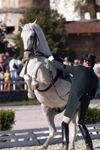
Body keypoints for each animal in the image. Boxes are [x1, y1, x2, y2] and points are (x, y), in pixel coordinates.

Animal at [19, 20, 78, 149]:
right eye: (21, 36)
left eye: (32, 36)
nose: (26, 57)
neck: (38, 57)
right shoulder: (26, 74)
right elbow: (27, 77)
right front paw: (30, 93)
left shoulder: (46, 80)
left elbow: (38, 67)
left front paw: (35, 83)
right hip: (47, 110)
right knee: (53, 131)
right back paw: (43, 146)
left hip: (72, 110)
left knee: (72, 129)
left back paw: (71, 146)